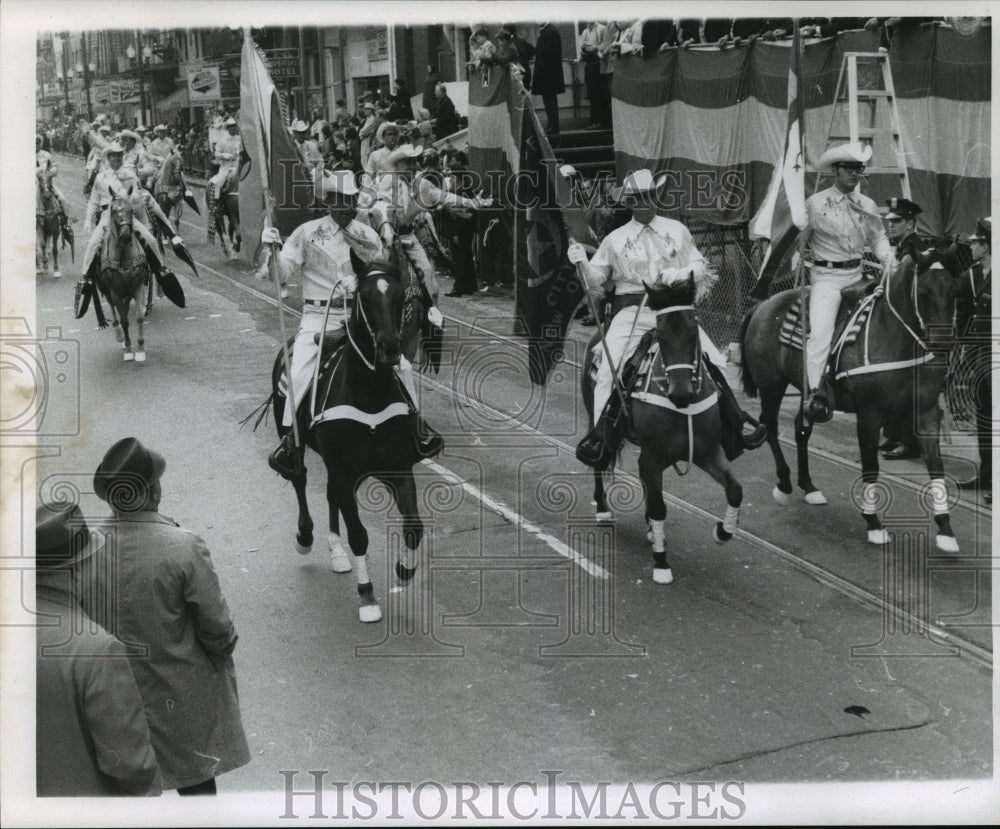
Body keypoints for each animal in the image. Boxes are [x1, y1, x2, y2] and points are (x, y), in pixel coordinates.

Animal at [580, 276, 744, 584]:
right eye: (662, 335)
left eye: (694, 329)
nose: (681, 393)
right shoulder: (655, 456)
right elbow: (659, 507)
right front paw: (661, 562)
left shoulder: (706, 452)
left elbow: (735, 490)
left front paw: (722, 531)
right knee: (600, 459)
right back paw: (603, 509)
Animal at [740, 246, 964, 552]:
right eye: (923, 292)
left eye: (954, 290)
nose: (943, 344)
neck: (894, 335)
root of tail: (763, 305)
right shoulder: (870, 413)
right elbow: (870, 466)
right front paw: (874, 523)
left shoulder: (927, 411)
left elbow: (936, 466)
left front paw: (945, 529)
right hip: (771, 386)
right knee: (770, 427)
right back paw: (784, 484)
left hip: (807, 395)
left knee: (800, 428)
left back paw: (808, 486)